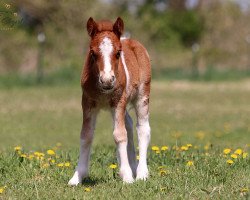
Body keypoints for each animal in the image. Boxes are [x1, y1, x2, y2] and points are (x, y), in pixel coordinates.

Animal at [67, 17, 151, 184]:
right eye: (92, 53)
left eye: (118, 53)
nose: (107, 80)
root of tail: (130, 39)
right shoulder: (87, 102)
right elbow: (86, 135)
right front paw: (77, 177)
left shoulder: (118, 101)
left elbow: (119, 135)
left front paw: (127, 177)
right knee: (129, 124)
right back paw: (133, 166)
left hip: (142, 95)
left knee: (143, 128)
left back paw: (141, 173)